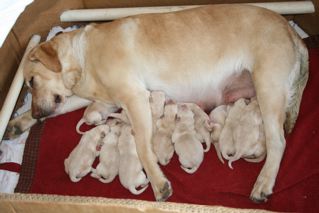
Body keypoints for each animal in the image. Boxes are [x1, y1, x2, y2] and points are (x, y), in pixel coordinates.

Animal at [21, 4, 308, 202]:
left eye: (31, 81)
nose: (35, 112)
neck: (83, 58)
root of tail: (291, 31)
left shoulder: (134, 97)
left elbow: (142, 147)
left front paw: (159, 182)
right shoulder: (99, 99)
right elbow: (63, 105)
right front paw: (18, 122)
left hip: (268, 86)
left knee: (278, 142)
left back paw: (263, 183)